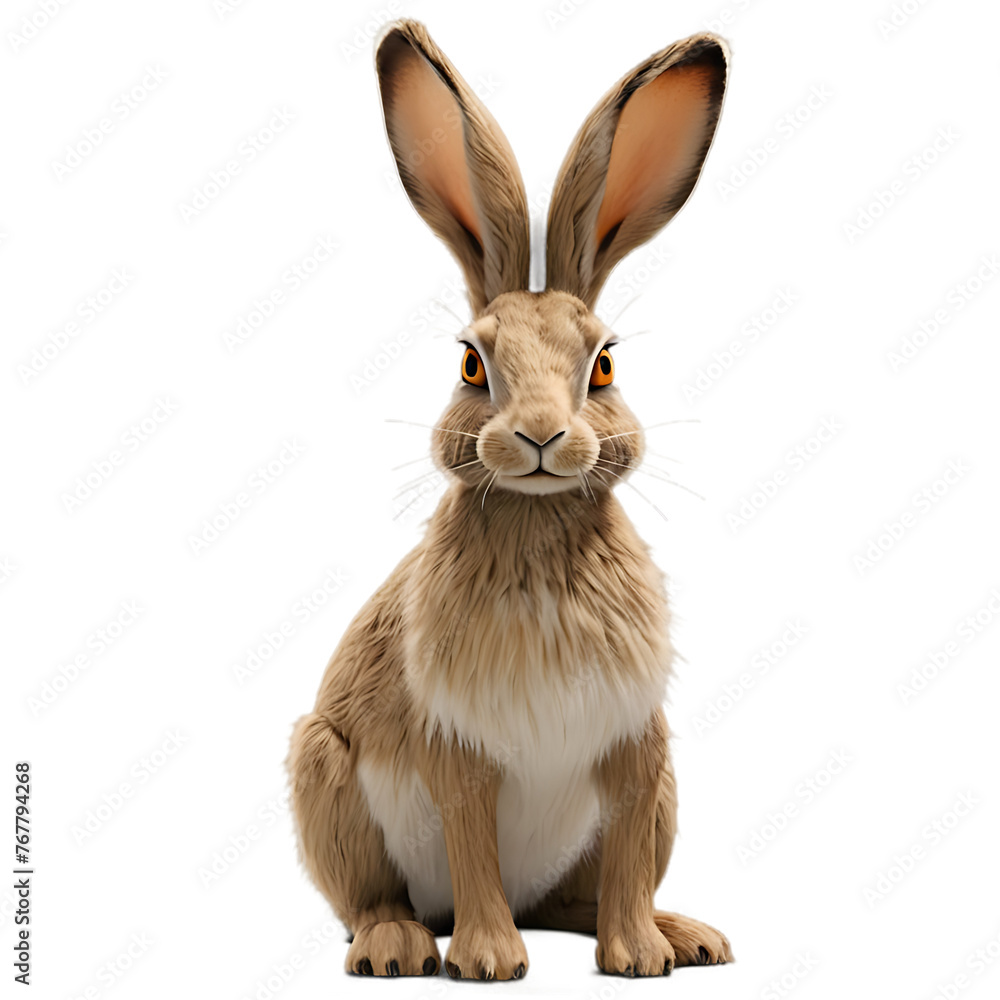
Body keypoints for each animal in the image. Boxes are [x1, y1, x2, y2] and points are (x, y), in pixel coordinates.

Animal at [287, 18, 733, 980]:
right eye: (469, 363)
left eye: (604, 365)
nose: (539, 436)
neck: (537, 525)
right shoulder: (457, 748)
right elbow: (471, 843)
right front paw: (490, 961)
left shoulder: (638, 750)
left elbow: (628, 852)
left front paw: (638, 957)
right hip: (321, 771)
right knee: (376, 897)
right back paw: (399, 946)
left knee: (585, 892)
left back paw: (686, 935)